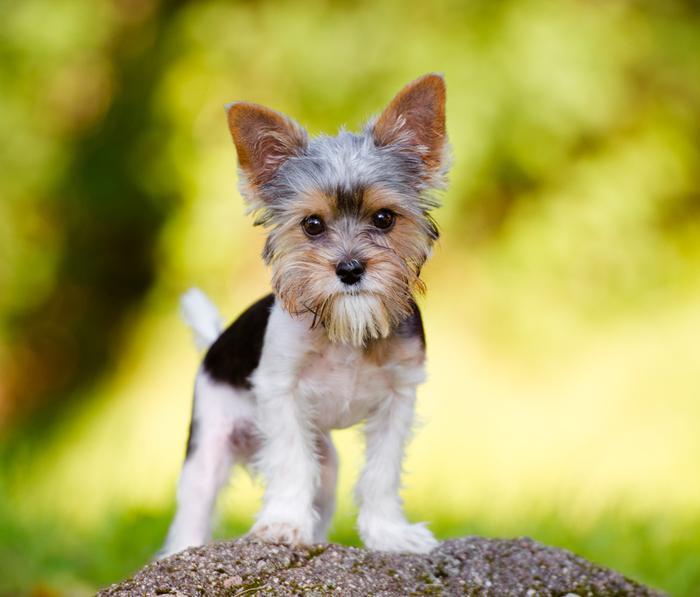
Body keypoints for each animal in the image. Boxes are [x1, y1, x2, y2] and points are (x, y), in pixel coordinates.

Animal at [160, 74, 448, 560]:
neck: (346, 327)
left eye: (385, 218)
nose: (349, 269)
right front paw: (283, 525)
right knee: (191, 517)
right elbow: (292, 462)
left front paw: (389, 534)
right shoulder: (282, 392)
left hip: (328, 464)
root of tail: (216, 342)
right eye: (312, 225)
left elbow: (382, 472)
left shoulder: (399, 397)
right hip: (207, 451)